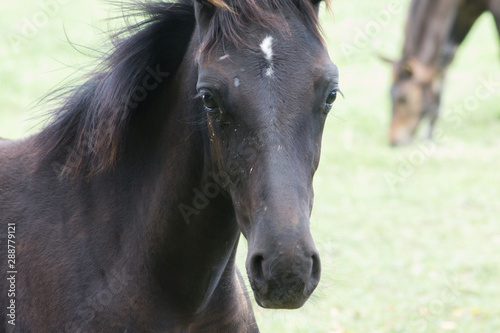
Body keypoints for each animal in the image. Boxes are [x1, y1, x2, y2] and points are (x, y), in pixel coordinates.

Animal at [382, 0, 500, 145]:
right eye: (389, 95)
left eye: (404, 98)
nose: (394, 140)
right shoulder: (464, 13)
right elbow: (443, 62)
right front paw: (429, 133)